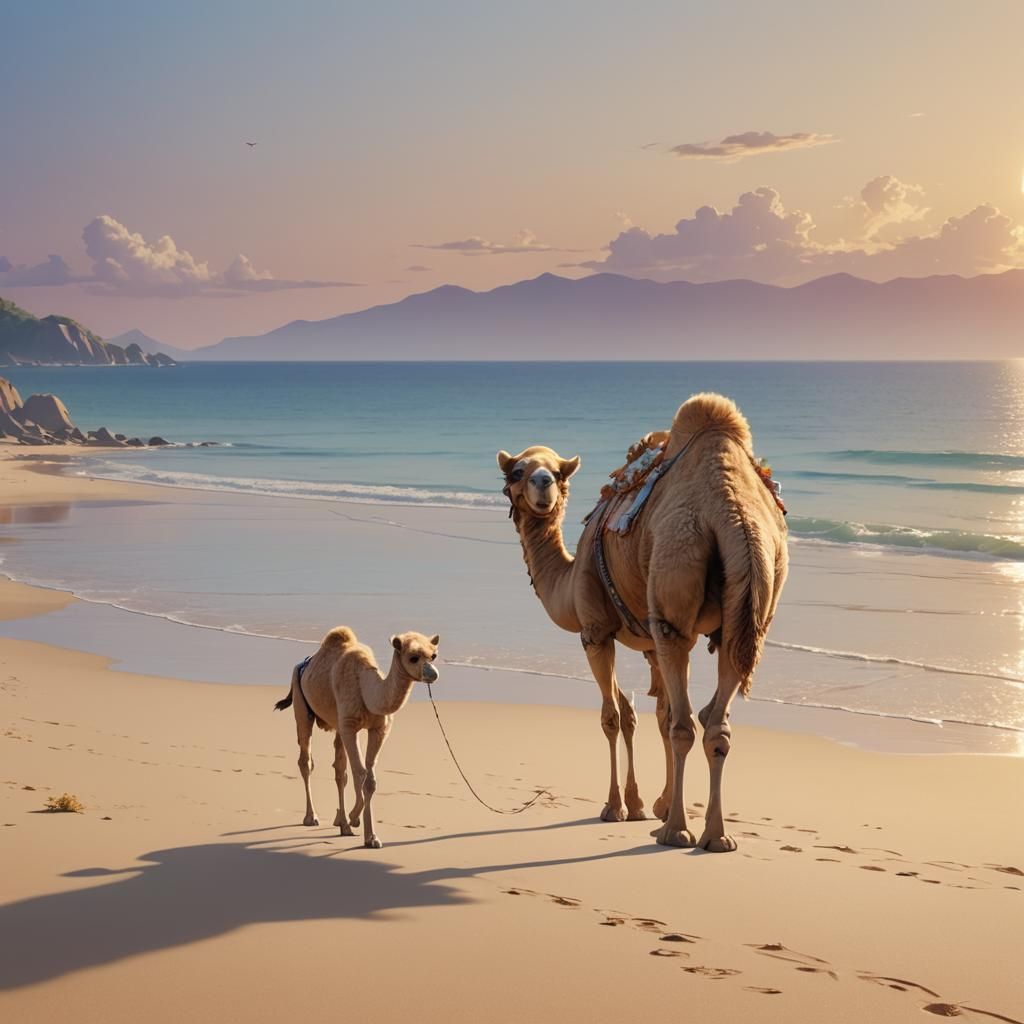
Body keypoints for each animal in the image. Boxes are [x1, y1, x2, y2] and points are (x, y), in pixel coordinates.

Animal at [274, 627, 440, 848]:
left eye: (433, 655)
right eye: (413, 657)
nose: (433, 674)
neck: (367, 690)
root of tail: (304, 663)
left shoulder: (378, 728)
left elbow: (369, 779)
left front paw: (369, 835)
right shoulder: (349, 726)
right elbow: (360, 773)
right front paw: (357, 821)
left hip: (336, 725)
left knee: (339, 770)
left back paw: (342, 823)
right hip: (301, 704)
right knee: (306, 760)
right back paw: (312, 817)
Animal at [497, 392, 787, 851]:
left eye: (556, 472)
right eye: (518, 471)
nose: (542, 484)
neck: (568, 578)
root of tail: (732, 513)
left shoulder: (595, 630)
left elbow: (614, 716)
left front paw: (619, 807)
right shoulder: (648, 641)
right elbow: (652, 715)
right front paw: (652, 805)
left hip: (675, 565)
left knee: (686, 722)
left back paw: (677, 832)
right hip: (753, 599)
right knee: (715, 720)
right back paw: (716, 835)